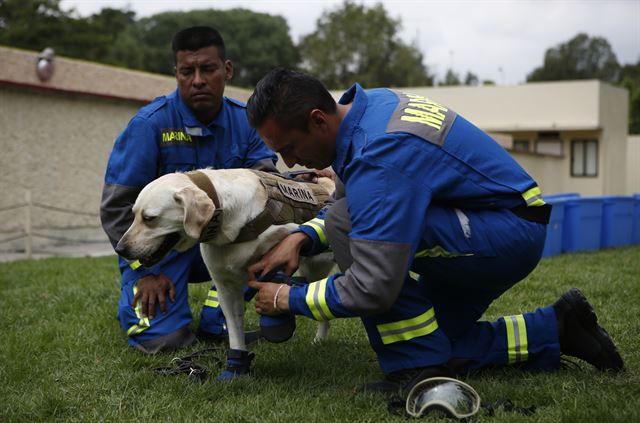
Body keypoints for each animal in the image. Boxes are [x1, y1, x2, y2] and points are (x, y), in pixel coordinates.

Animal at [116, 168, 336, 368]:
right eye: (134, 215)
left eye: (149, 218)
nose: (120, 249)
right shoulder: (226, 288)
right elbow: (235, 332)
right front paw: (235, 368)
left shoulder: (281, 250)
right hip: (313, 271)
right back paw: (320, 341)